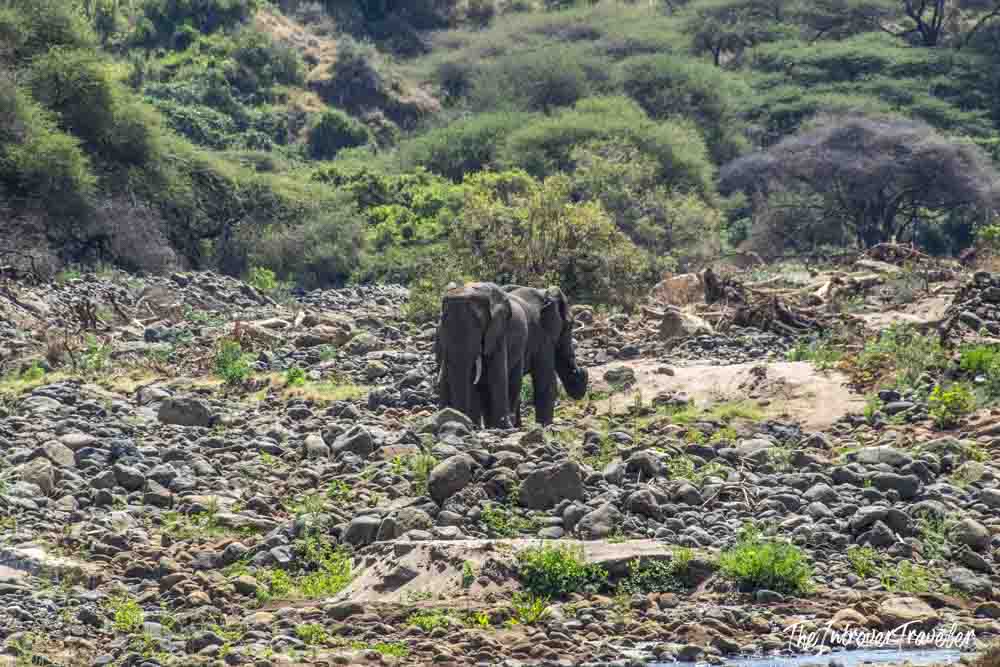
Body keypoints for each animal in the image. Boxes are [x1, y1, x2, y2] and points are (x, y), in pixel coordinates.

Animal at [434, 282, 528, 429]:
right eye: (442, 322)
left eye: (478, 323)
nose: (460, 418)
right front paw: (472, 424)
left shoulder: (498, 330)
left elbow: (497, 374)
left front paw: (503, 426)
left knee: (514, 380)